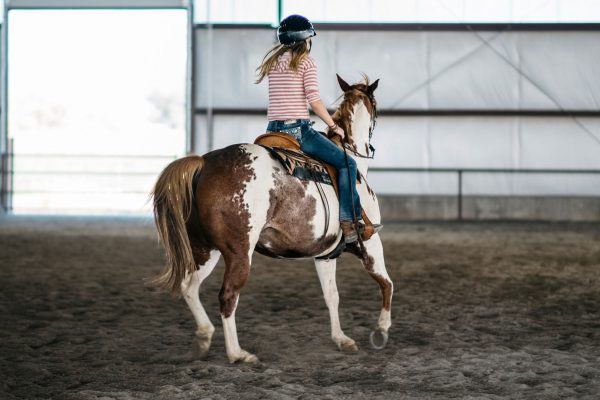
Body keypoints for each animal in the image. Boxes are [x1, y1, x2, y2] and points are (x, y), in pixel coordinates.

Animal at [150, 74, 394, 362]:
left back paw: (204, 338)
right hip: (239, 253)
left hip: (205, 250)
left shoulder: (325, 254)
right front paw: (381, 330)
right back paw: (237, 354)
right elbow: (386, 284)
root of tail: (203, 164)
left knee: (189, 287)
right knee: (228, 296)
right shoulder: (371, 241)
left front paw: (341, 339)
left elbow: (331, 295)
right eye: (376, 106)